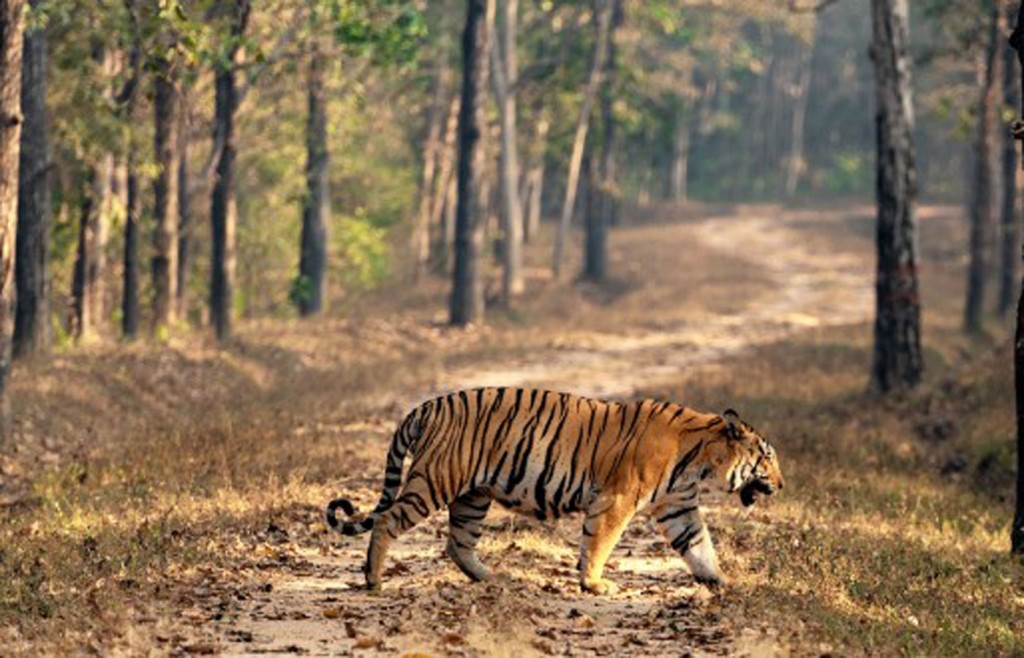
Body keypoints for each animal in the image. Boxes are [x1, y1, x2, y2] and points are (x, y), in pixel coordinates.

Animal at [327, 388, 782, 593]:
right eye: (767, 457)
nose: (781, 484)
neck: (700, 461)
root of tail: (426, 405)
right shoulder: (616, 500)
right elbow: (599, 543)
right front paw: (594, 584)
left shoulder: (678, 507)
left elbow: (699, 546)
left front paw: (722, 581)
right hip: (434, 481)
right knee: (387, 520)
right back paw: (373, 580)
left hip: (473, 496)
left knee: (458, 543)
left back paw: (493, 578)